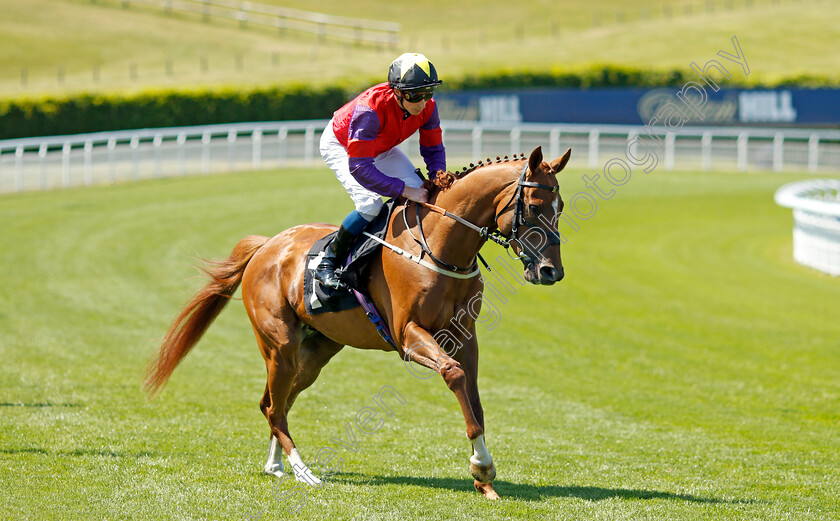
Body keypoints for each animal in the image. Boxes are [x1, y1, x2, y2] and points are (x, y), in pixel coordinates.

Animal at [148, 144, 576, 498]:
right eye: (534, 207)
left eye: (560, 208)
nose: (551, 271)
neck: (438, 247)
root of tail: (267, 246)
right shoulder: (408, 336)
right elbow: (453, 374)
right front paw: (481, 466)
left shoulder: (464, 337)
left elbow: (474, 396)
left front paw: (483, 477)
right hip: (279, 344)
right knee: (275, 407)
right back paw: (303, 470)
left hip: (317, 350)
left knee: (274, 401)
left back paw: (275, 465)